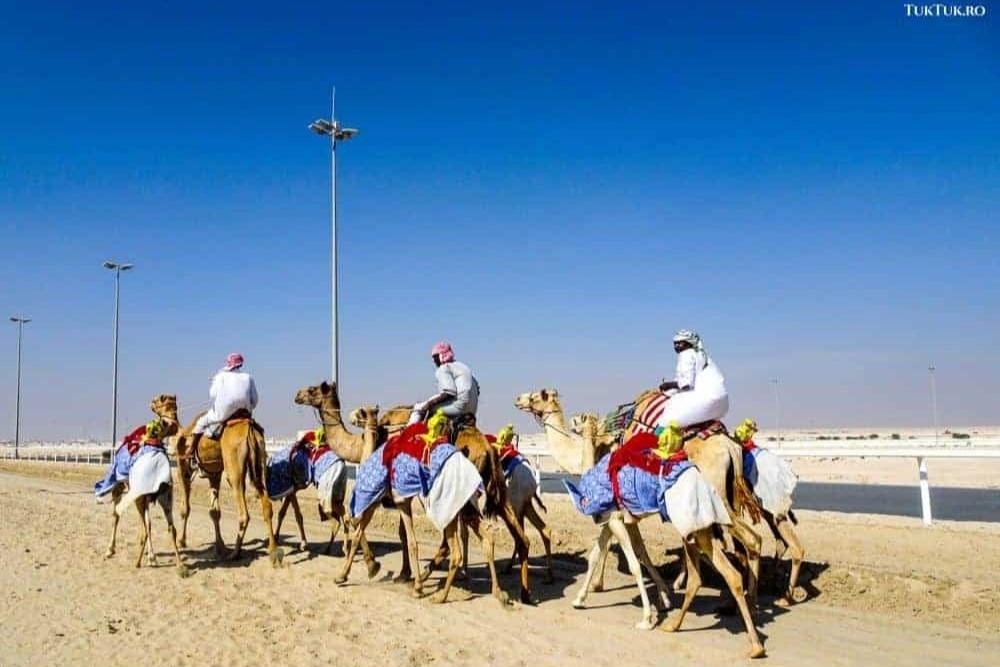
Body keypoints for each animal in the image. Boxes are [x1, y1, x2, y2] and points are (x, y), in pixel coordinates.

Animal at [103, 394, 186, 572]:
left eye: (159, 400)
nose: (151, 402)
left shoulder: (133, 493)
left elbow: (133, 519)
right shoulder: (146, 498)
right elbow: (146, 523)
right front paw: (151, 556)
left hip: (139, 495)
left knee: (139, 523)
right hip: (161, 497)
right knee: (167, 527)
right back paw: (179, 564)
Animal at [170, 408, 276, 564]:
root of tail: (249, 429)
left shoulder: (182, 467)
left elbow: (185, 509)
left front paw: (181, 541)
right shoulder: (214, 473)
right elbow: (214, 512)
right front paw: (220, 547)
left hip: (233, 466)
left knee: (243, 512)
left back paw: (235, 554)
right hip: (259, 459)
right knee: (266, 505)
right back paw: (273, 550)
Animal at [338, 410, 508, 608]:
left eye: (362, 412)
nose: (351, 415)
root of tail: (488, 449)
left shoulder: (381, 498)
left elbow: (363, 530)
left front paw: (353, 572)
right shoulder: (400, 500)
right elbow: (401, 536)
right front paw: (399, 574)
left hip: (452, 505)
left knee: (454, 548)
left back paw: (439, 593)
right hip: (465, 504)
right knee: (485, 538)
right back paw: (499, 593)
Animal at [516, 388, 764, 660]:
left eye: (536, 395)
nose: (518, 399)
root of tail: (730, 446)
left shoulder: (614, 511)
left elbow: (626, 554)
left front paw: (608, 592)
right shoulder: (621, 515)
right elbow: (621, 552)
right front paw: (660, 598)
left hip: (716, 497)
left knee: (746, 541)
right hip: (730, 497)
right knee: (750, 541)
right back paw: (741, 607)